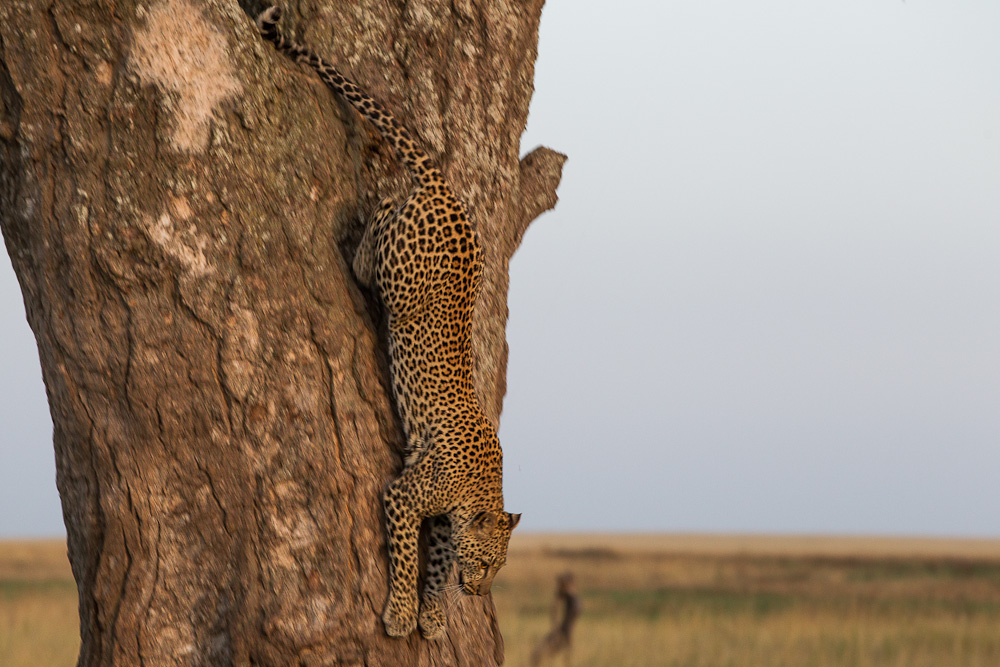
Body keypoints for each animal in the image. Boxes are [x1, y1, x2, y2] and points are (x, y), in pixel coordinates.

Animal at [257, 6, 521, 640]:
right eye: (487, 564)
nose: (479, 591)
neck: (480, 490)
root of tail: (448, 191)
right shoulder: (403, 497)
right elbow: (404, 558)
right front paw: (401, 613)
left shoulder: (444, 523)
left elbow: (436, 565)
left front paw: (433, 614)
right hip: (399, 278)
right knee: (378, 223)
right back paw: (364, 226)